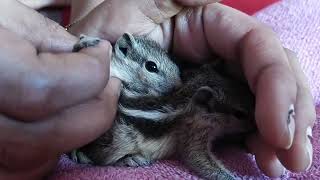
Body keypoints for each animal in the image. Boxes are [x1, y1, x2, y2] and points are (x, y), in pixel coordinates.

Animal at [71, 33, 256, 179]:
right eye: (240, 114)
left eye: (243, 86)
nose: (255, 126)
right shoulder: (193, 135)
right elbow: (199, 160)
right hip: (117, 143)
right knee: (102, 159)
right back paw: (129, 159)